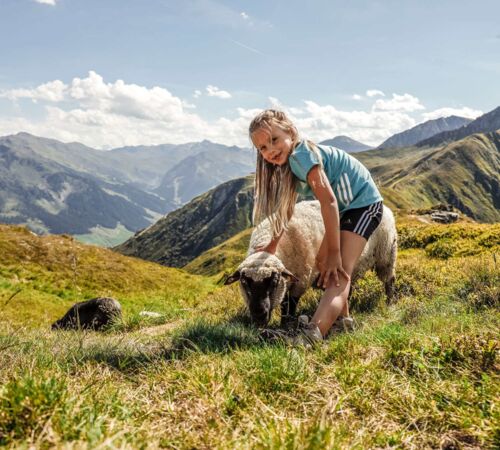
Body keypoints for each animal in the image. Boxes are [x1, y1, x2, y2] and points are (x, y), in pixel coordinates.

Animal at [225, 201, 396, 326]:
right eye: (244, 282)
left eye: (273, 282)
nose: (259, 315)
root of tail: (387, 208)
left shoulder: (301, 279)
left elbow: (288, 304)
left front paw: (285, 325)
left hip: (386, 255)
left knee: (389, 280)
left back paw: (390, 302)